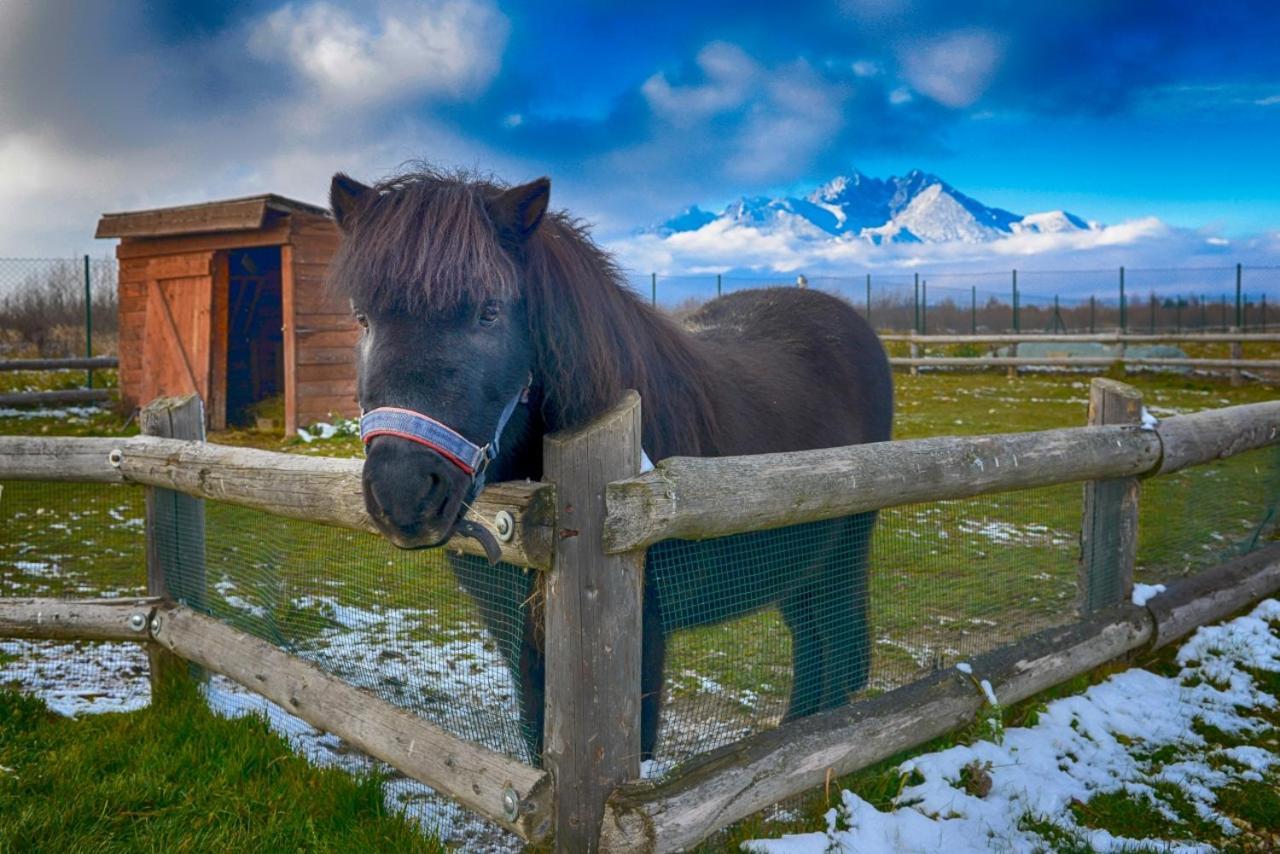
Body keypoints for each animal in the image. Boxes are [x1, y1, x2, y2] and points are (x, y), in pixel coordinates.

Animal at [327, 166, 890, 763]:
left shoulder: (640, 637)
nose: (405, 495)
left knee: (837, 650)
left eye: (489, 311)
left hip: (842, 550)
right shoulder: (514, 630)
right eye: (363, 318)